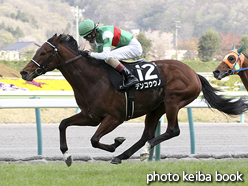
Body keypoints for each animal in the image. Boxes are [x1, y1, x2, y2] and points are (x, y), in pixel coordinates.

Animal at [21, 34, 248, 166]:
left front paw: (115, 143)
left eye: (44, 52)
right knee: (147, 133)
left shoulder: (114, 117)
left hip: (173, 101)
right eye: (38, 50)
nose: (24, 72)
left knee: (172, 130)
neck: (92, 78)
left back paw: (143, 151)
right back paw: (123, 156)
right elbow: (63, 124)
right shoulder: (90, 116)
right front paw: (67, 156)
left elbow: (94, 140)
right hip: (156, 107)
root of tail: (193, 72)